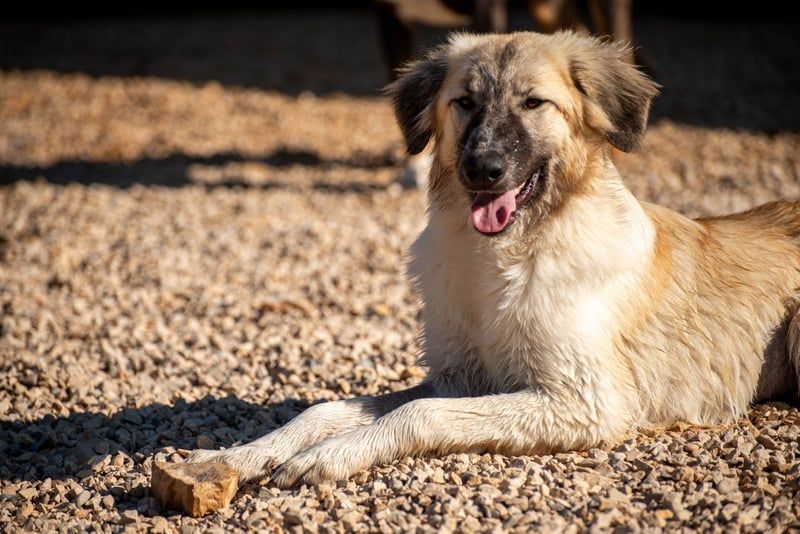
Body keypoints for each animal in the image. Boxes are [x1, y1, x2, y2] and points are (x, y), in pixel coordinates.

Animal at [189, 31, 800, 487]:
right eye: (464, 102)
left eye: (533, 102)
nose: (482, 170)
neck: (506, 256)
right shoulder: (459, 376)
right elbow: (326, 409)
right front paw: (242, 454)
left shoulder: (583, 400)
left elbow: (417, 414)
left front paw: (328, 456)